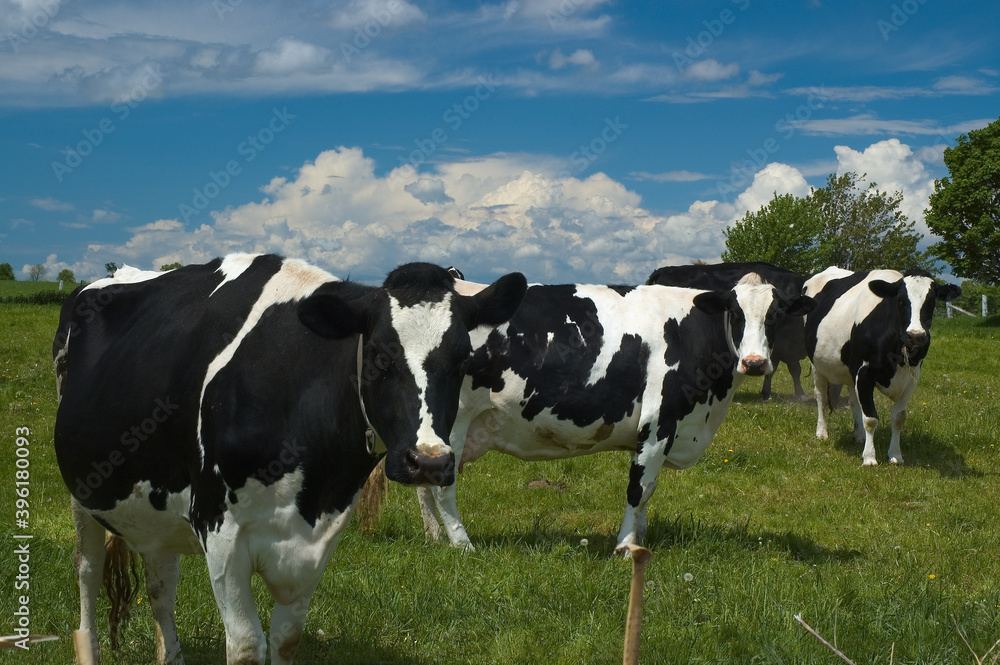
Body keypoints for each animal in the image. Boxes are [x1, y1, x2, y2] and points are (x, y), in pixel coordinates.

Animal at [51, 255, 528, 664]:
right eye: (379, 355)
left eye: (463, 360)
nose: (427, 463)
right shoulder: (218, 527)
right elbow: (247, 646)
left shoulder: (317, 539)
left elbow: (285, 639)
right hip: (84, 493)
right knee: (87, 573)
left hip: (156, 502)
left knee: (160, 583)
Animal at [804, 268, 960, 464]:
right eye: (901, 301)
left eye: (931, 301)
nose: (916, 336)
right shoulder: (864, 372)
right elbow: (871, 418)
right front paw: (870, 458)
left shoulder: (911, 378)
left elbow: (899, 418)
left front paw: (895, 455)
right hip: (817, 365)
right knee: (821, 397)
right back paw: (822, 432)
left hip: (850, 372)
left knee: (854, 401)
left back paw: (859, 436)